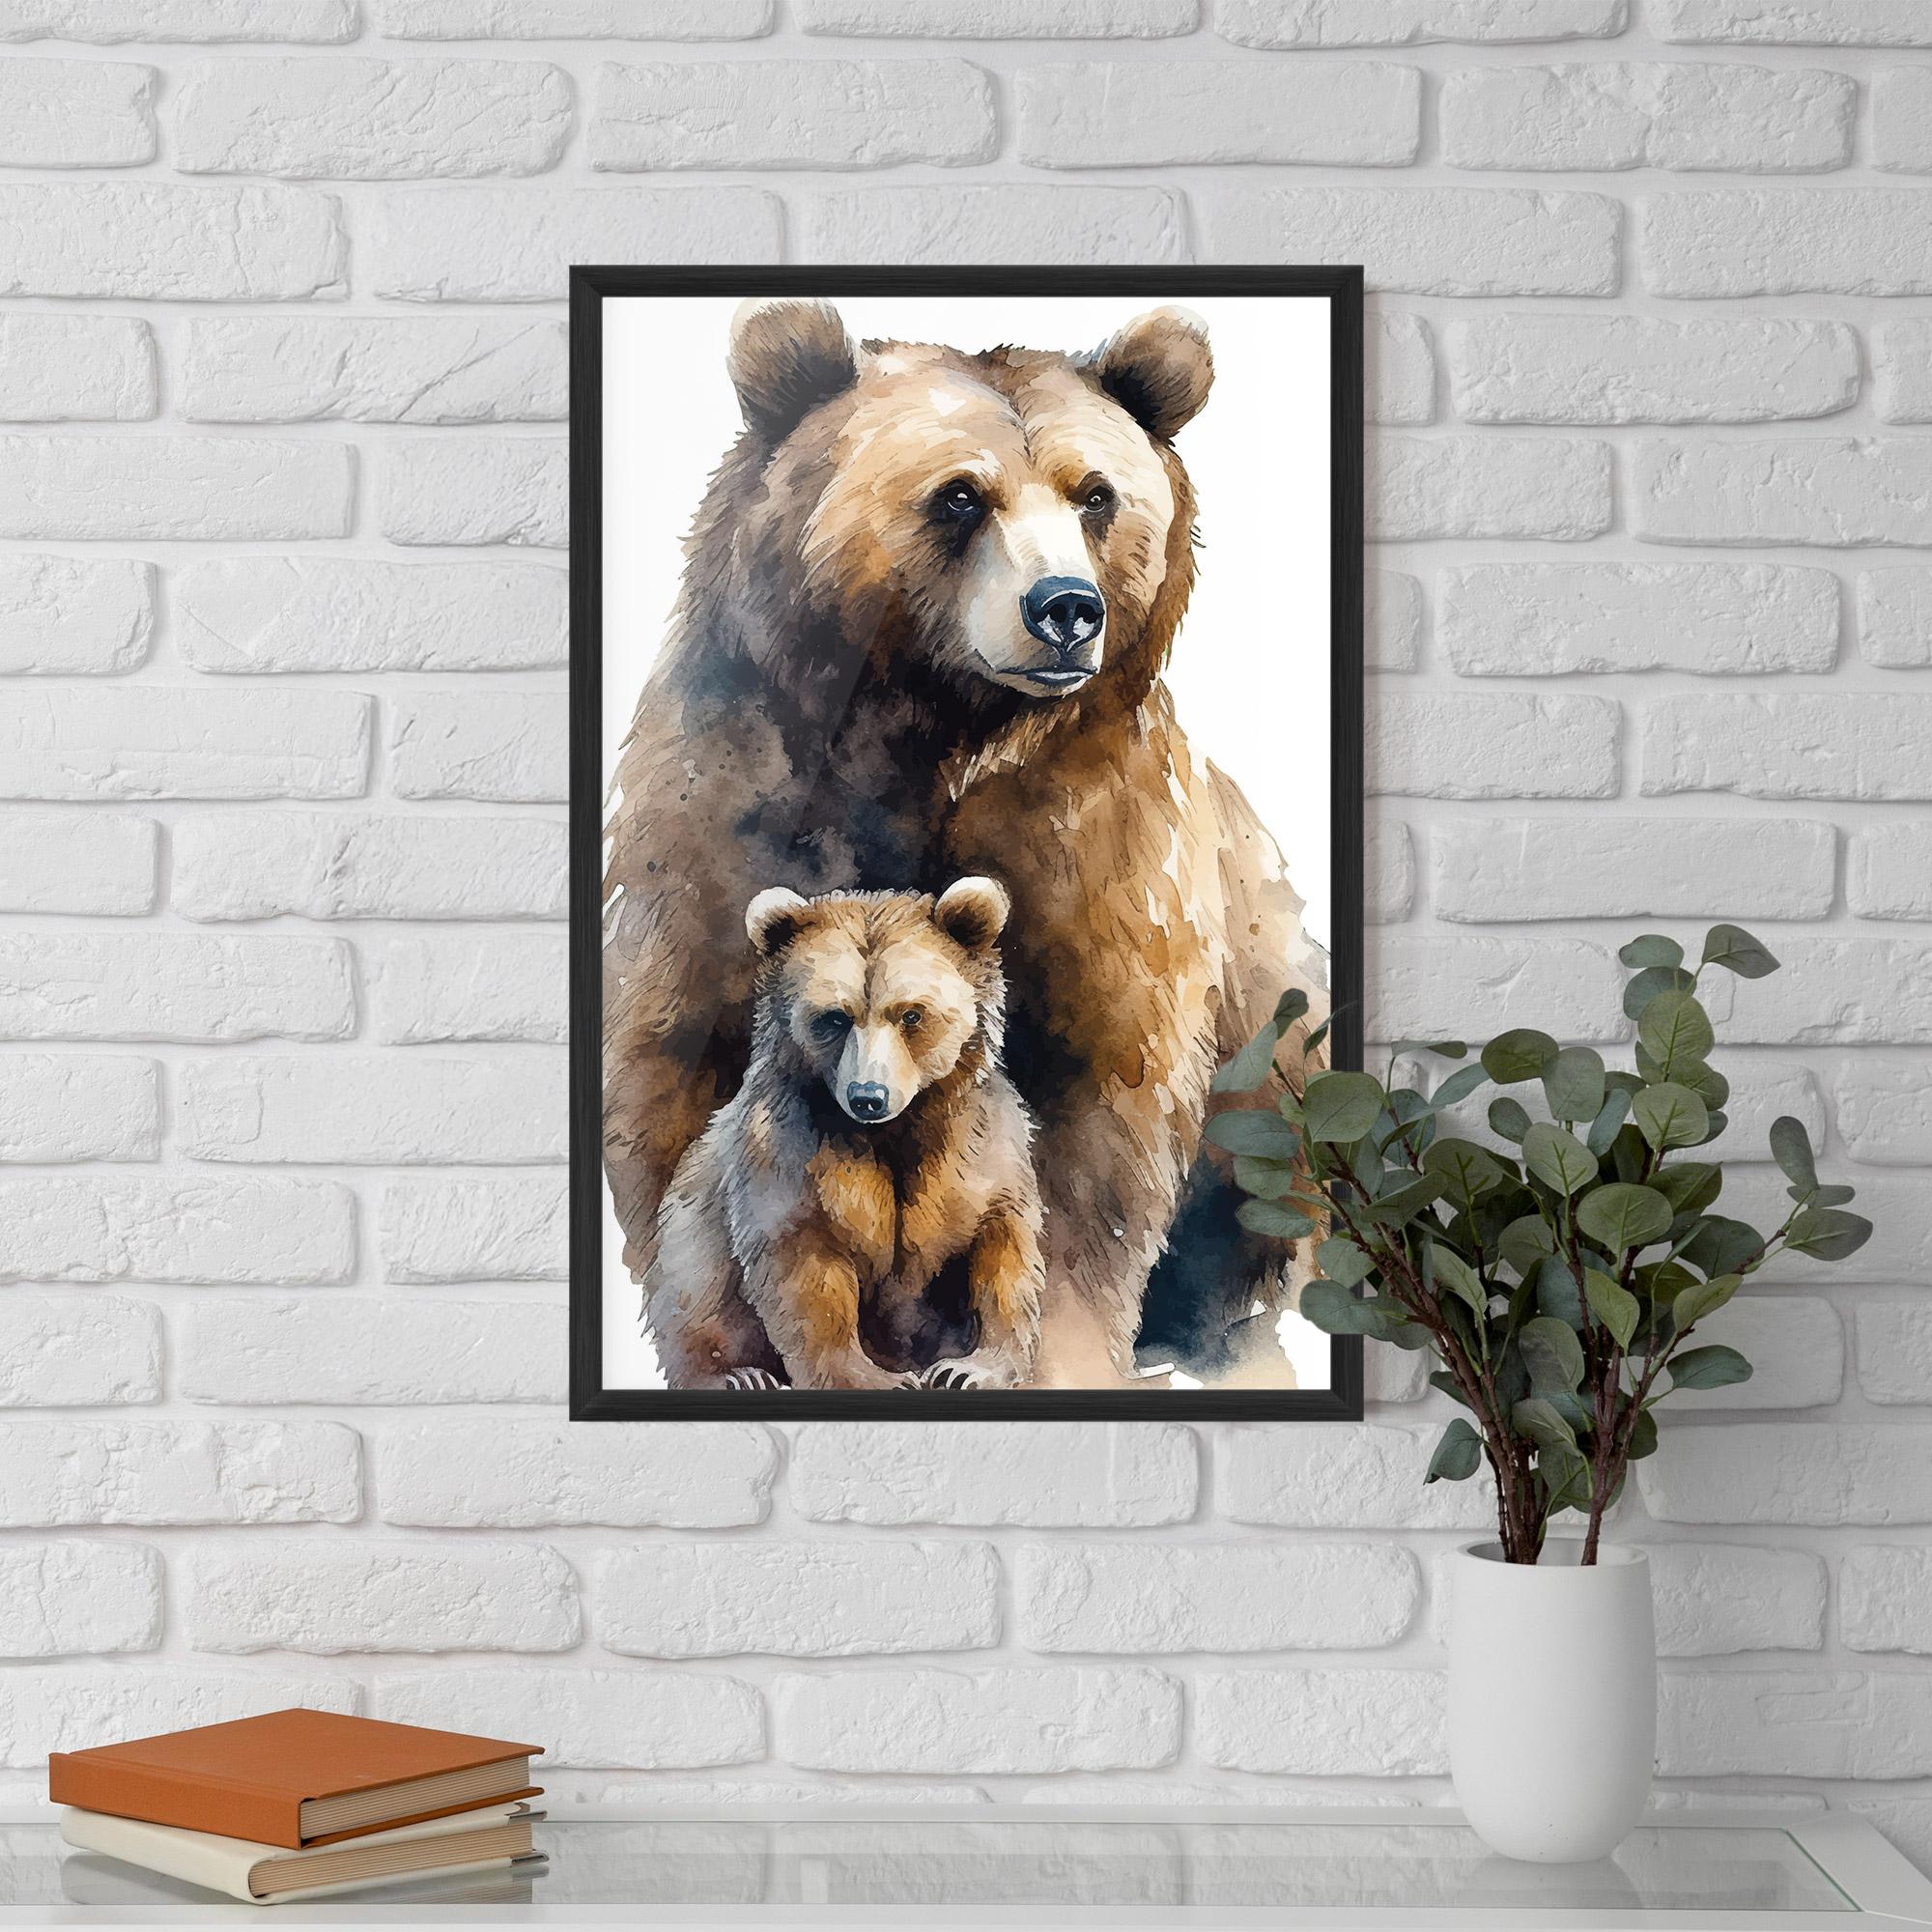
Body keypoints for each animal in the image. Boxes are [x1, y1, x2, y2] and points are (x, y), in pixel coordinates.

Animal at [645, 876, 1044, 1392]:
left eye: (911, 1015)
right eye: (834, 1017)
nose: (868, 1096)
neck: (894, 1132)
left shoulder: (980, 1149)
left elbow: (1002, 1250)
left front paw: (970, 1368)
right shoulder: (789, 1154)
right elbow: (807, 1271)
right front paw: (874, 1378)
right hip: (690, 1218)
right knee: (693, 1287)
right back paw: (735, 1375)